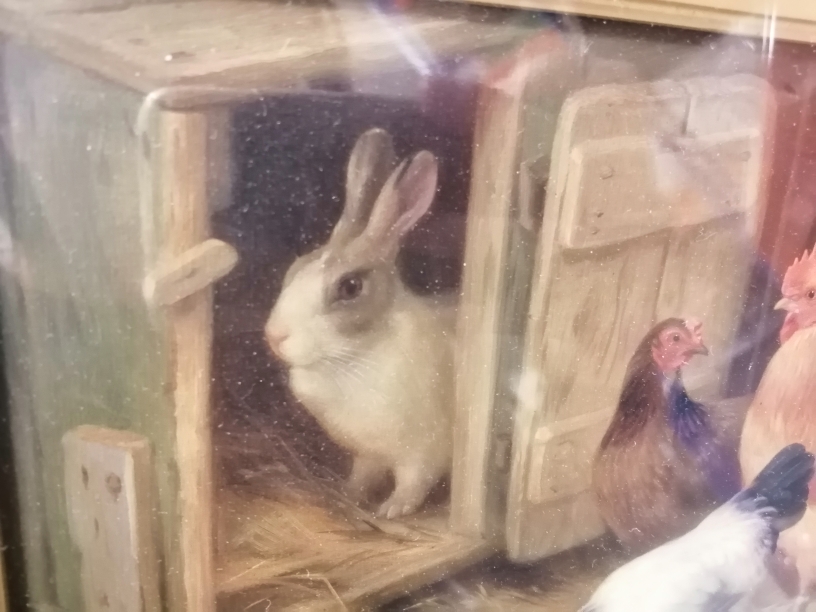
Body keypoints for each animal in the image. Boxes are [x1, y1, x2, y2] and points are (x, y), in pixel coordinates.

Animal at [268, 126, 460, 520]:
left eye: (350, 287)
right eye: (296, 267)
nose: (273, 336)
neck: (355, 359)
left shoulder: (423, 453)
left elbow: (413, 484)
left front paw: (391, 510)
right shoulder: (368, 454)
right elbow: (363, 476)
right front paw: (349, 495)